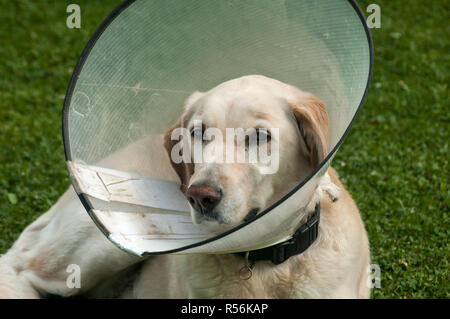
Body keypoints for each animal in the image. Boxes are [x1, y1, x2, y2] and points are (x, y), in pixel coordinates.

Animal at [0, 75, 370, 300]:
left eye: (260, 136)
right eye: (198, 132)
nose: (200, 196)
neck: (265, 264)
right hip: (116, 235)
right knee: (18, 266)